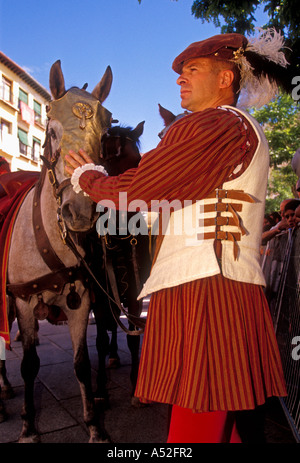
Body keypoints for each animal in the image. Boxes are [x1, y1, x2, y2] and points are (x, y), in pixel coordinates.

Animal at [2, 59, 113, 444]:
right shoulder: (22, 302)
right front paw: (28, 427)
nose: (78, 212)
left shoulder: (81, 302)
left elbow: (81, 364)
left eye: (104, 137)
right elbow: (28, 365)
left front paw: (94, 424)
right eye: (51, 133)